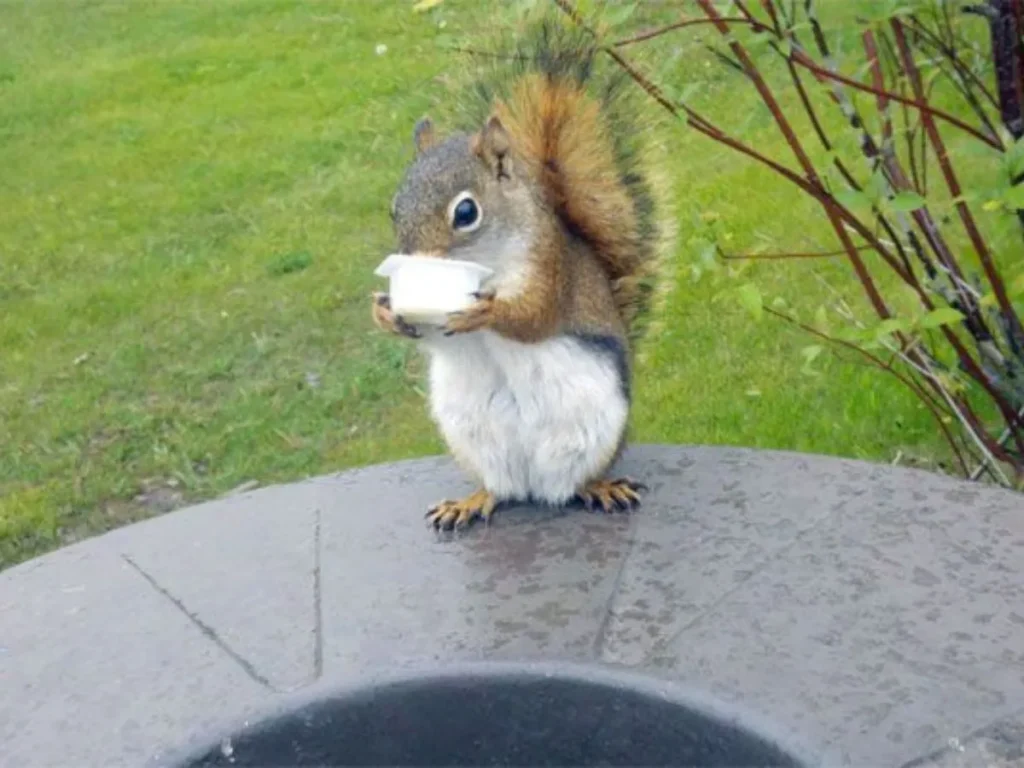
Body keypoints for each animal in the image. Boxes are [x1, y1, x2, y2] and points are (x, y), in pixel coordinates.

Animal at [372, 15, 675, 531]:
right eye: (395, 208)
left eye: (466, 211)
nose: (413, 256)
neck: (490, 260)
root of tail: (536, 484)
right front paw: (386, 312)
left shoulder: (549, 265)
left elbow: (535, 317)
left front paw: (485, 313)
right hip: (473, 439)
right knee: (501, 487)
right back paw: (472, 500)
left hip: (595, 431)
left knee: (574, 481)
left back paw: (598, 487)